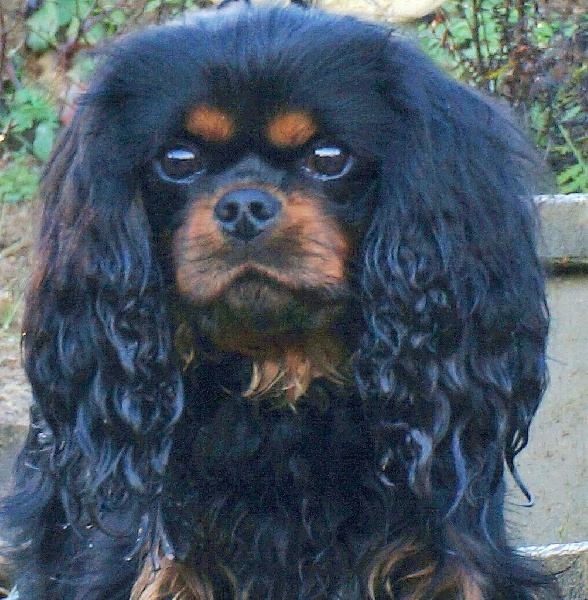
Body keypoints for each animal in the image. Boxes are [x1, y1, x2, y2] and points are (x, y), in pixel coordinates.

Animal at [2, 4, 555, 599]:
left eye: (329, 157)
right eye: (178, 160)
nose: (244, 205)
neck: (282, 373)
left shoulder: (455, 554)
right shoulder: (149, 560)